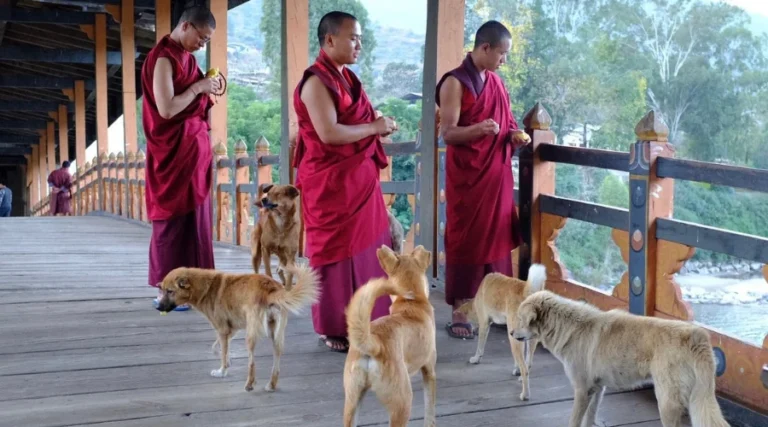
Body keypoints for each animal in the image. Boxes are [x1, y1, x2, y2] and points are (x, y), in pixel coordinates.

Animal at [156, 264, 318, 394]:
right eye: (163, 290)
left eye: (170, 291)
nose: (158, 307)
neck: (206, 288)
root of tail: (270, 288)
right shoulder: (231, 329)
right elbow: (218, 348)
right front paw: (228, 360)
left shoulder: (222, 329)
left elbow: (222, 351)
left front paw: (222, 370)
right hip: (276, 335)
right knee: (276, 362)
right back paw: (271, 385)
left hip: (250, 336)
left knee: (252, 363)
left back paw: (249, 384)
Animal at [344, 246, 438, 427]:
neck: (411, 301)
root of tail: (374, 344)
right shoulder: (429, 370)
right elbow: (429, 412)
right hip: (402, 403)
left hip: (352, 401)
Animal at [456, 264, 544, 402]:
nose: (472, 331)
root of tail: (528, 291)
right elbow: (517, 359)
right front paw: (516, 369)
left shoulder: (484, 325)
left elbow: (480, 347)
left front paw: (476, 359)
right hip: (529, 339)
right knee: (528, 363)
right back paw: (521, 377)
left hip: (514, 337)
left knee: (525, 369)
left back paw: (525, 394)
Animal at [512, 290, 728, 427]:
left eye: (521, 320)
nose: (511, 333)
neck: (568, 326)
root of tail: (697, 337)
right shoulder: (596, 390)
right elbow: (589, 418)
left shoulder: (581, 390)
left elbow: (574, 421)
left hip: (668, 403)